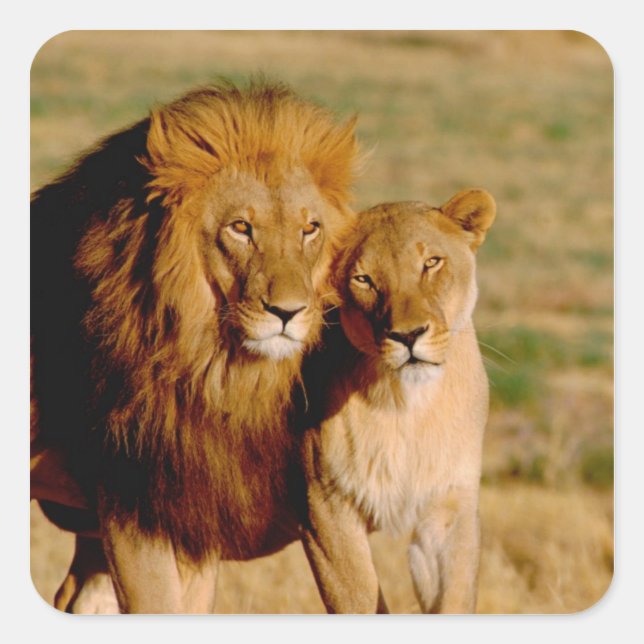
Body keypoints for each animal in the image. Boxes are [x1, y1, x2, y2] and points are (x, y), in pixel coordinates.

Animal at [30, 81, 360, 613]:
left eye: (310, 228)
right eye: (240, 227)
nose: (289, 312)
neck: (213, 368)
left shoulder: (196, 515)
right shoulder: (133, 508)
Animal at [299, 190, 496, 613]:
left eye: (431, 263)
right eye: (364, 280)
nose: (407, 336)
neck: (406, 407)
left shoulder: (449, 506)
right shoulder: (324, 509)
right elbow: (358, 601)